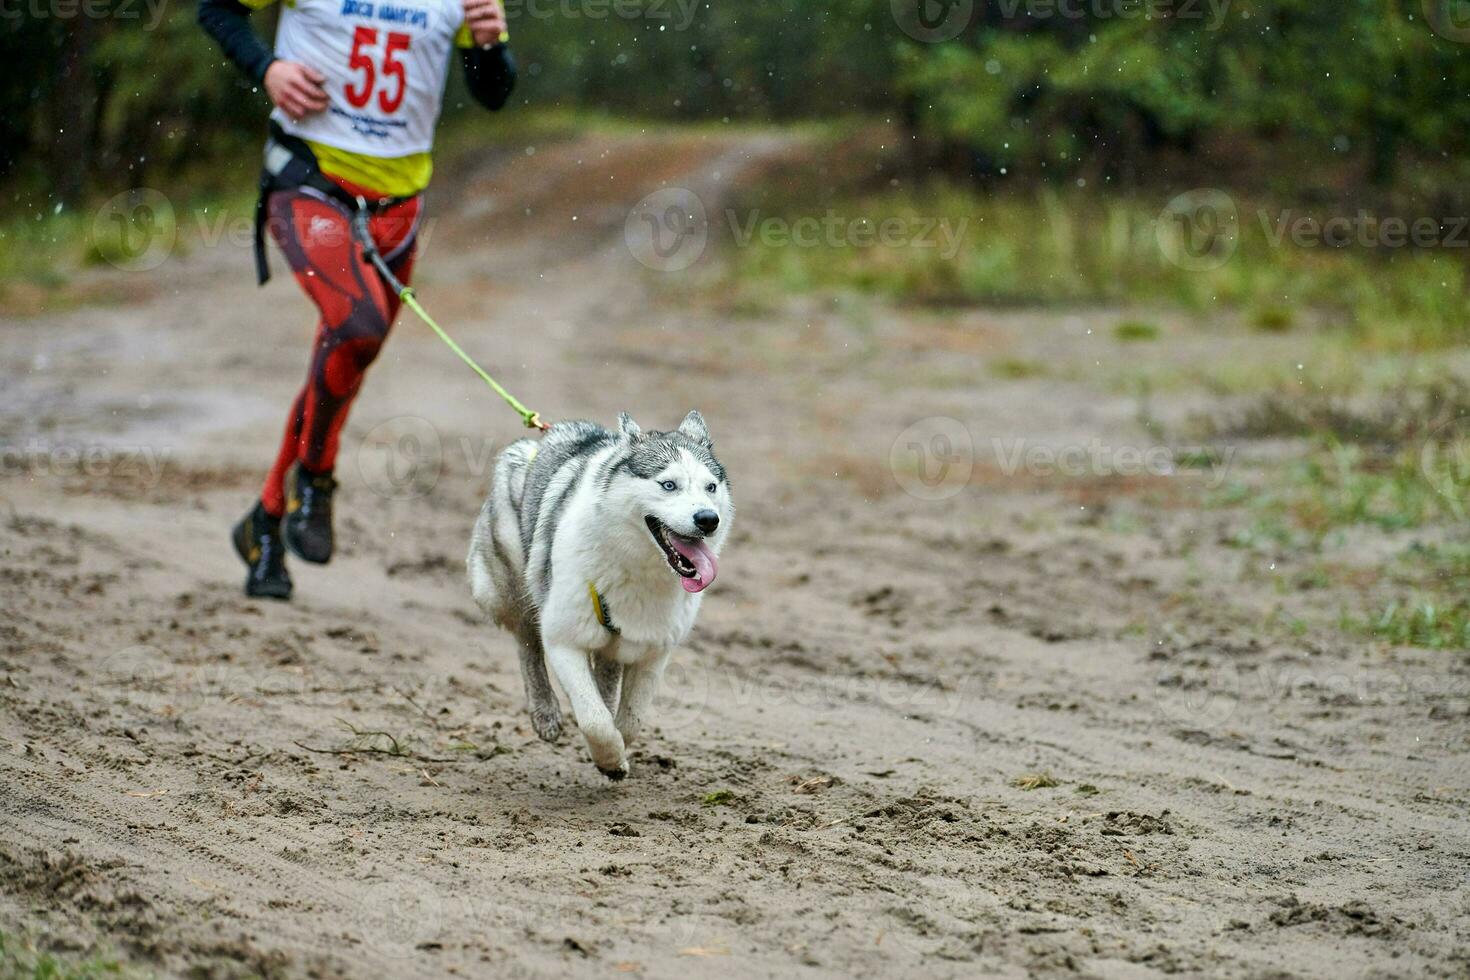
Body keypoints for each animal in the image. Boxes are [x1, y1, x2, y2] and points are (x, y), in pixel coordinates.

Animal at [467, 411, 732, 775]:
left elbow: (631, 720)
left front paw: (617, 751)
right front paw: (609, 759)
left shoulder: (654, 653)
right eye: (668, 485)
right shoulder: (564, 641)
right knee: (526, 640)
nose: (708, 519)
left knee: (605, 670)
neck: (637, 568)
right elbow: (594, 720)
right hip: (506, 588)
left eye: (711, 487)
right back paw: (544, 712)